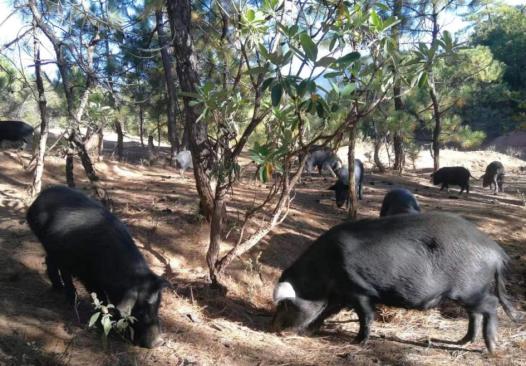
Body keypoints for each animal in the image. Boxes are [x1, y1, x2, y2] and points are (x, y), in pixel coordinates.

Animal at [26, 187, 169, 348]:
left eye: (157, 307)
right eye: (140, 312)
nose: (159, 342)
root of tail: (40, 197)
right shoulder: (88, 276)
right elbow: (101, 298)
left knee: (50, 261)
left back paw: (59, 289)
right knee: (62, 269)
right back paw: (69, 297)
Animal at [274, 213, 516, 354]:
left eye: (285, 304)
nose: (274, 329)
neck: (322, 270)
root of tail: (497, 252)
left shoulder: (359, 289)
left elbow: (366, 316)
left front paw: (357, 343)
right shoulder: (341, 294)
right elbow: (327, 311)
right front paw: (311, 329)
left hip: (469, 289)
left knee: (491, 304)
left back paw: (492, 348)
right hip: (471, 292)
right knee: (475, 313)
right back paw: (463, 342)